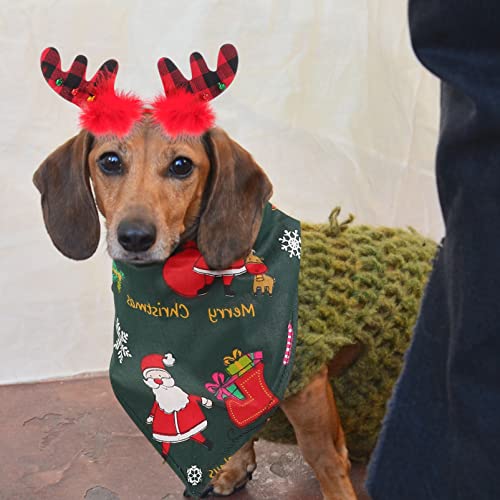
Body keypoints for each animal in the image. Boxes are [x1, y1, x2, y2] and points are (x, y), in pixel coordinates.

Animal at [35, 118, 360, 500]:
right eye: (110, 161)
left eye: (181, 165)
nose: (135, 237)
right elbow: (244, 427)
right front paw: (236, 467)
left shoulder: (308, 385)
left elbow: (322, 456)